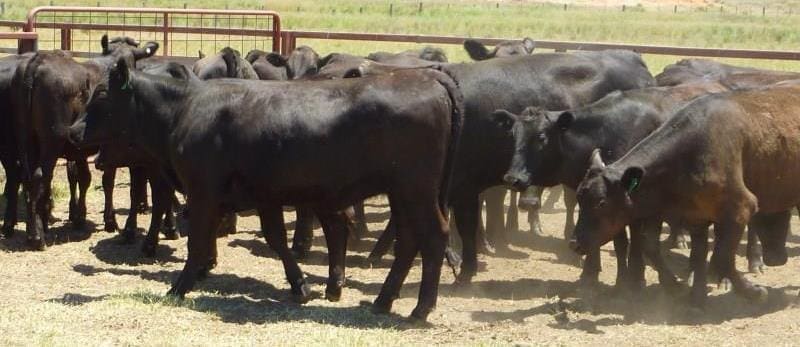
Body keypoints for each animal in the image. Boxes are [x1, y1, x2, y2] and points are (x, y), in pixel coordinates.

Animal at [72, 60, 466, 324]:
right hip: (403, 193)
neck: (185, 109)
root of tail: (429, 78)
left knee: (433, 236)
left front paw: (179, 287)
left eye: (102, 94)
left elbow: (198, 243)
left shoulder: (203, 193)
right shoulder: (264, 195)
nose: (74, 131)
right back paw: (383, 300)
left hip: (416, 190)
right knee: (409, 240)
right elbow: (276, 238)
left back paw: (420, 308)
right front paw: (301, 286)